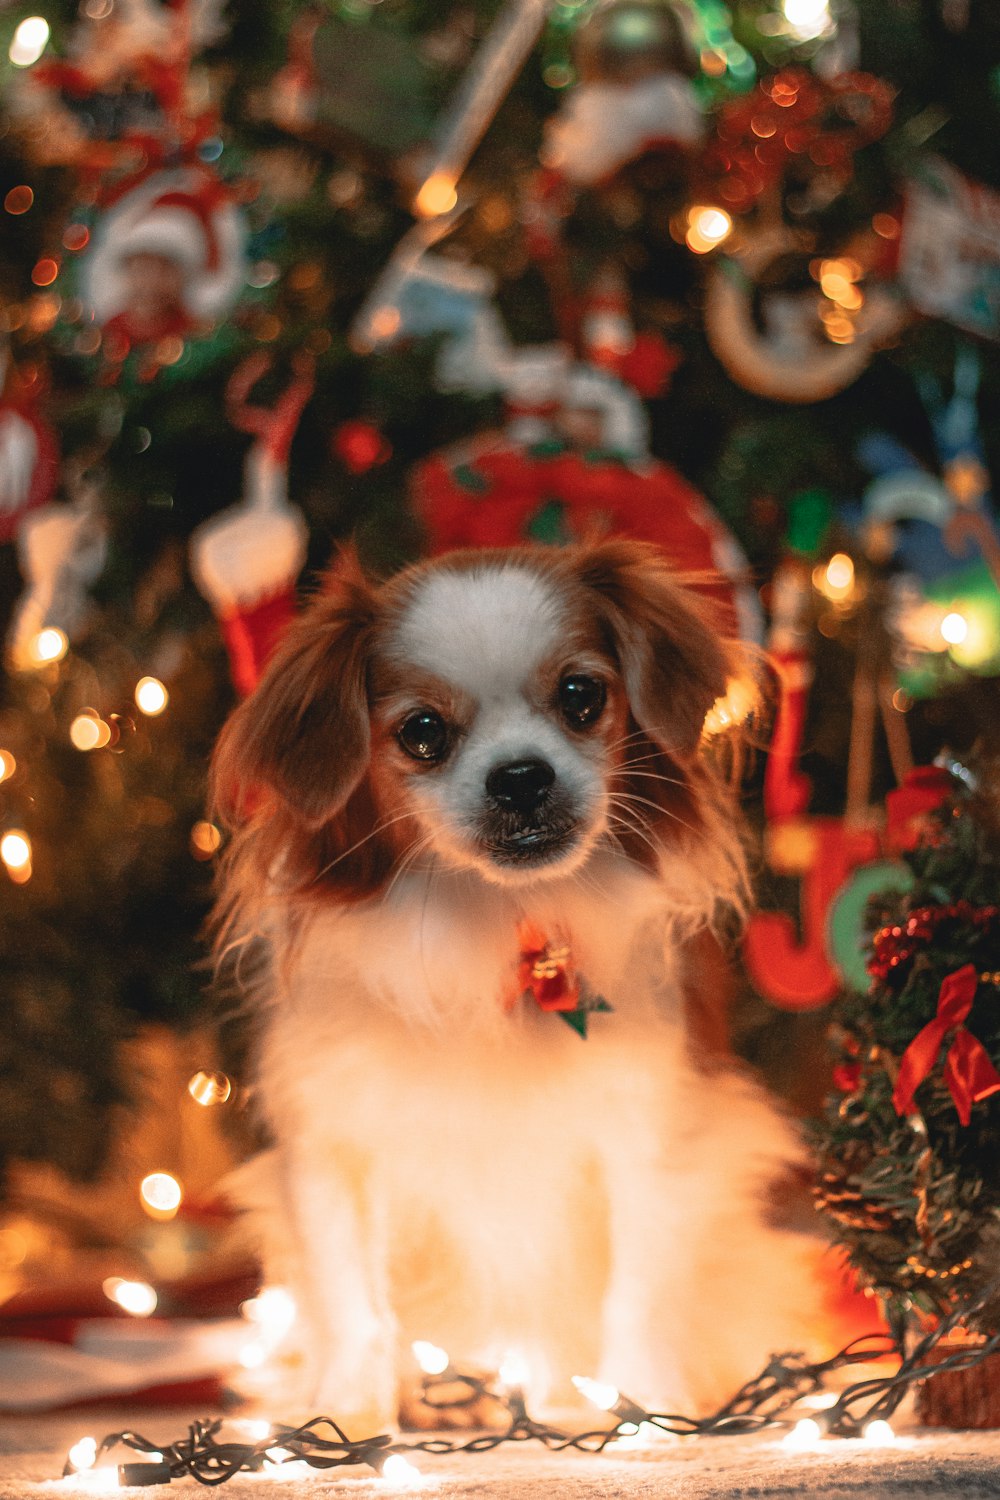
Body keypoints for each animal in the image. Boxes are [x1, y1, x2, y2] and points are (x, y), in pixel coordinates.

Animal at [215, 540, 815, 1428]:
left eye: (581, 696)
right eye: (423, 732)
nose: (522, 777)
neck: (499, 926)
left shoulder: (650, 1130)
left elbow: (639, 1285)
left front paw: (644, 1403)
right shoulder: (333, 1143)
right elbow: (351, 1294)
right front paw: (347, 1416)